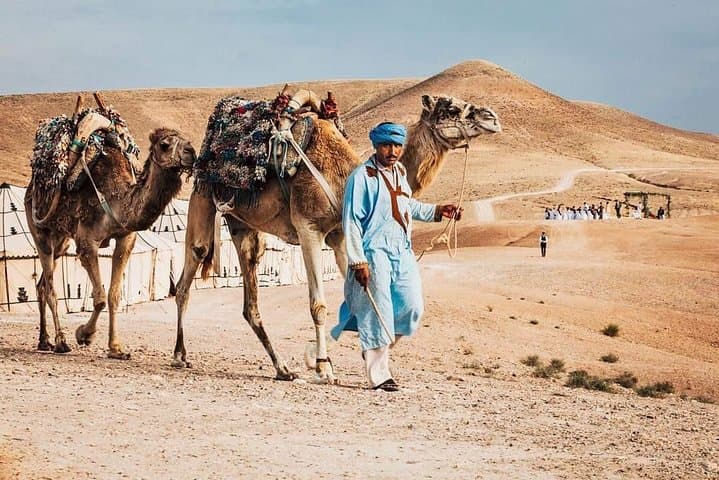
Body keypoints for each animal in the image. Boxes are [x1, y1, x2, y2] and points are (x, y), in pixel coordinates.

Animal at [25, 124, 197, 359]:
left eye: (187, 140)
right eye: (164, 145)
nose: (191, 153)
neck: (118, 201)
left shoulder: (126, 239)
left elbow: (114, 295)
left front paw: (116, 348)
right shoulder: (87, 242)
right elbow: (98, 298)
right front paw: (84, 334)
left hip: (61, 240)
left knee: (42, 285)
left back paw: (44, 340)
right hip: (40, 231)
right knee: (50, 288)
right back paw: (61, 342)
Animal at [173, 91, 501, 382]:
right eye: (452, 109)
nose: (492, 118)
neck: (345, 177)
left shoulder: (341, 237)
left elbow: (363, 301)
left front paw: (355, 358)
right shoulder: (309, 229)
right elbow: (318, 305)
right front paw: (322, 366)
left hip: (242, 224)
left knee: (250, 298)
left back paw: (283, 369)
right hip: (203, 195)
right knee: (190, 270)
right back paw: (179, 355)